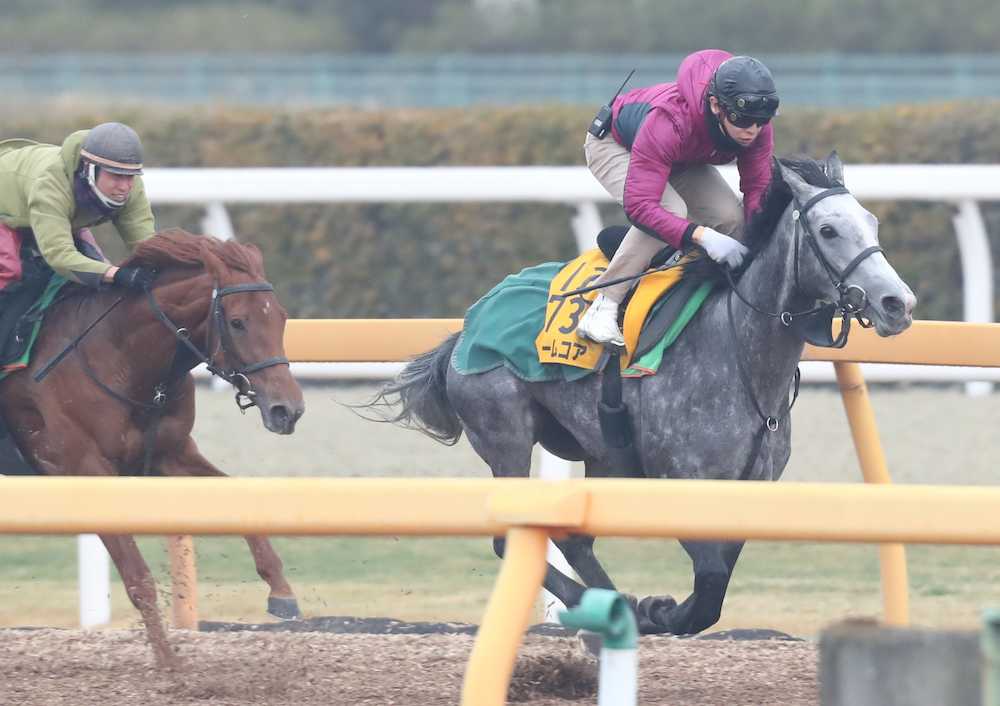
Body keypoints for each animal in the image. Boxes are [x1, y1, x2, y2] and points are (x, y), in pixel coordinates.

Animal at [0, 228, 305, 665]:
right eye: (238, 322)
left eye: (280, 316)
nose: (288, 410)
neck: (120, 356)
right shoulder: (86, 468)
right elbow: (137, 578)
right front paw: (169, 663)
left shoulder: (170, 455)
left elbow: (236, 497)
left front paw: (281, 591)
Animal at [360, 153, 916, 635]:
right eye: (827, 230)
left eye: (872, 224)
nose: (898, 303)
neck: (738, 350)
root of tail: (469, 323)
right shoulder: (678, 482)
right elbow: (709, 586)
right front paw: (660, 610)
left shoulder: (746, 489)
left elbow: (715, 582)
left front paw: (656, 609)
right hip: (505, 432)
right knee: (506, 538)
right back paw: (612, 605)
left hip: (604, 453)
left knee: (577, 541)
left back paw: (616, 603)